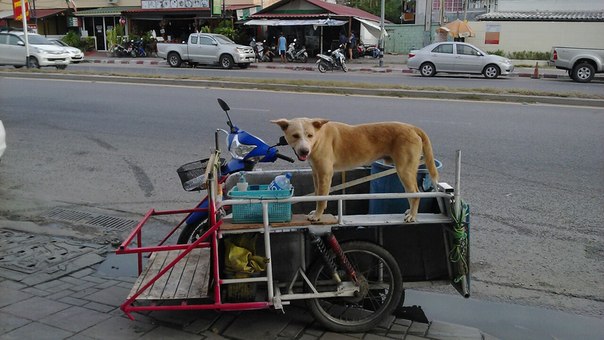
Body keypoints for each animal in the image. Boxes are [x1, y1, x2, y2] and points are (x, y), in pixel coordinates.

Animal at [270, 119, 438, 223]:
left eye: (309, 135)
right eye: (295, 135)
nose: (304, 151)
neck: (318, 137)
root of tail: (412, 128)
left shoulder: (325, 173)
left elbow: (322, 198)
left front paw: (318, 215)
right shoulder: (316, 173)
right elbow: (318, 195)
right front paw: (317, 211)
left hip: (404, 169)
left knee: (415, 193)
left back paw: (413, 215)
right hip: (406, 170)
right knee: (411, 194)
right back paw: (410, 212)